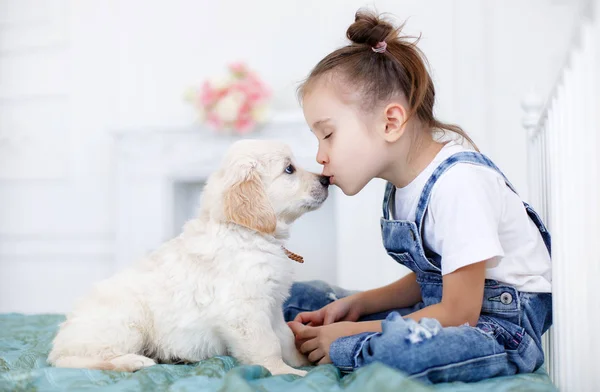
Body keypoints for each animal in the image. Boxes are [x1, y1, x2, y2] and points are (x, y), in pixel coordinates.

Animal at [47, 139, 330, 376]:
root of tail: (58, 345)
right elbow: (267, 344)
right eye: (289, 169)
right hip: (125, 324)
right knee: (79, 361)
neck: (245, 233)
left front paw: (303, 360)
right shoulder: (245, 309)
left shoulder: (273, 305)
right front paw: (286, 373)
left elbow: (285, 337)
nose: (326, 179)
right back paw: (133, 361)